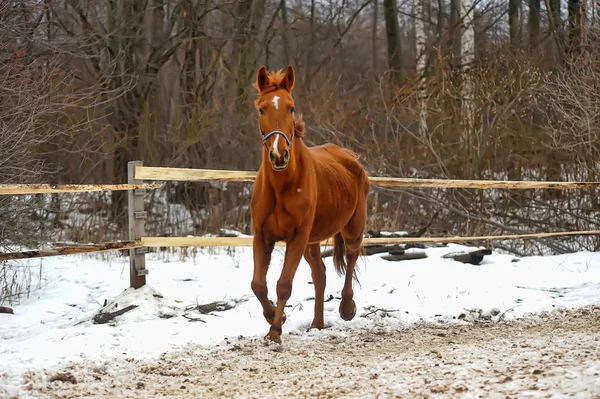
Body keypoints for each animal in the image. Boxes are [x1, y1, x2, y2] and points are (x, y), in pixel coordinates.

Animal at [250, 65, 370, 344]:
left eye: (291, 107)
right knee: (320, 274)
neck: (281, 187)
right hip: (311, 242)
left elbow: (284, 284)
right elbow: (258, 285)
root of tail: (349, 156)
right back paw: (317, 323)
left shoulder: (297, 237)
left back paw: (347, 307)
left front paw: (275, 330)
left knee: (351, 256)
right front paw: (275, 317)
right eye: (261, 109)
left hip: (352, 228)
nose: (279, 154)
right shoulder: (262, 236)